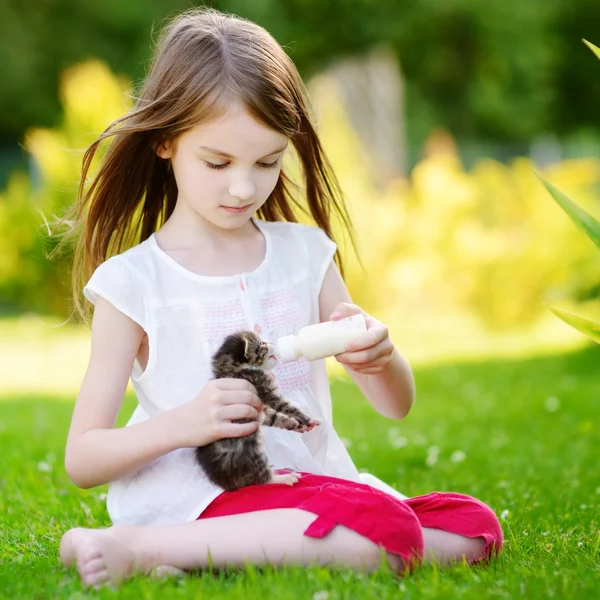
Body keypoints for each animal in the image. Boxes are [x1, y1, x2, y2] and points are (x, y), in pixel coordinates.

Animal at [195, 330, 322, 490]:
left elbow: (275, 418)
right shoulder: (264, 388)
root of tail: (229, 483)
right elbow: (288, 407)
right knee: (261, 477)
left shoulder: (260, 409)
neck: (236, 368)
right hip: (250, 451)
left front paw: (296, 425)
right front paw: (308, 419)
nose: (271, 342)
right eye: (262, 343)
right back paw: (280, 478)